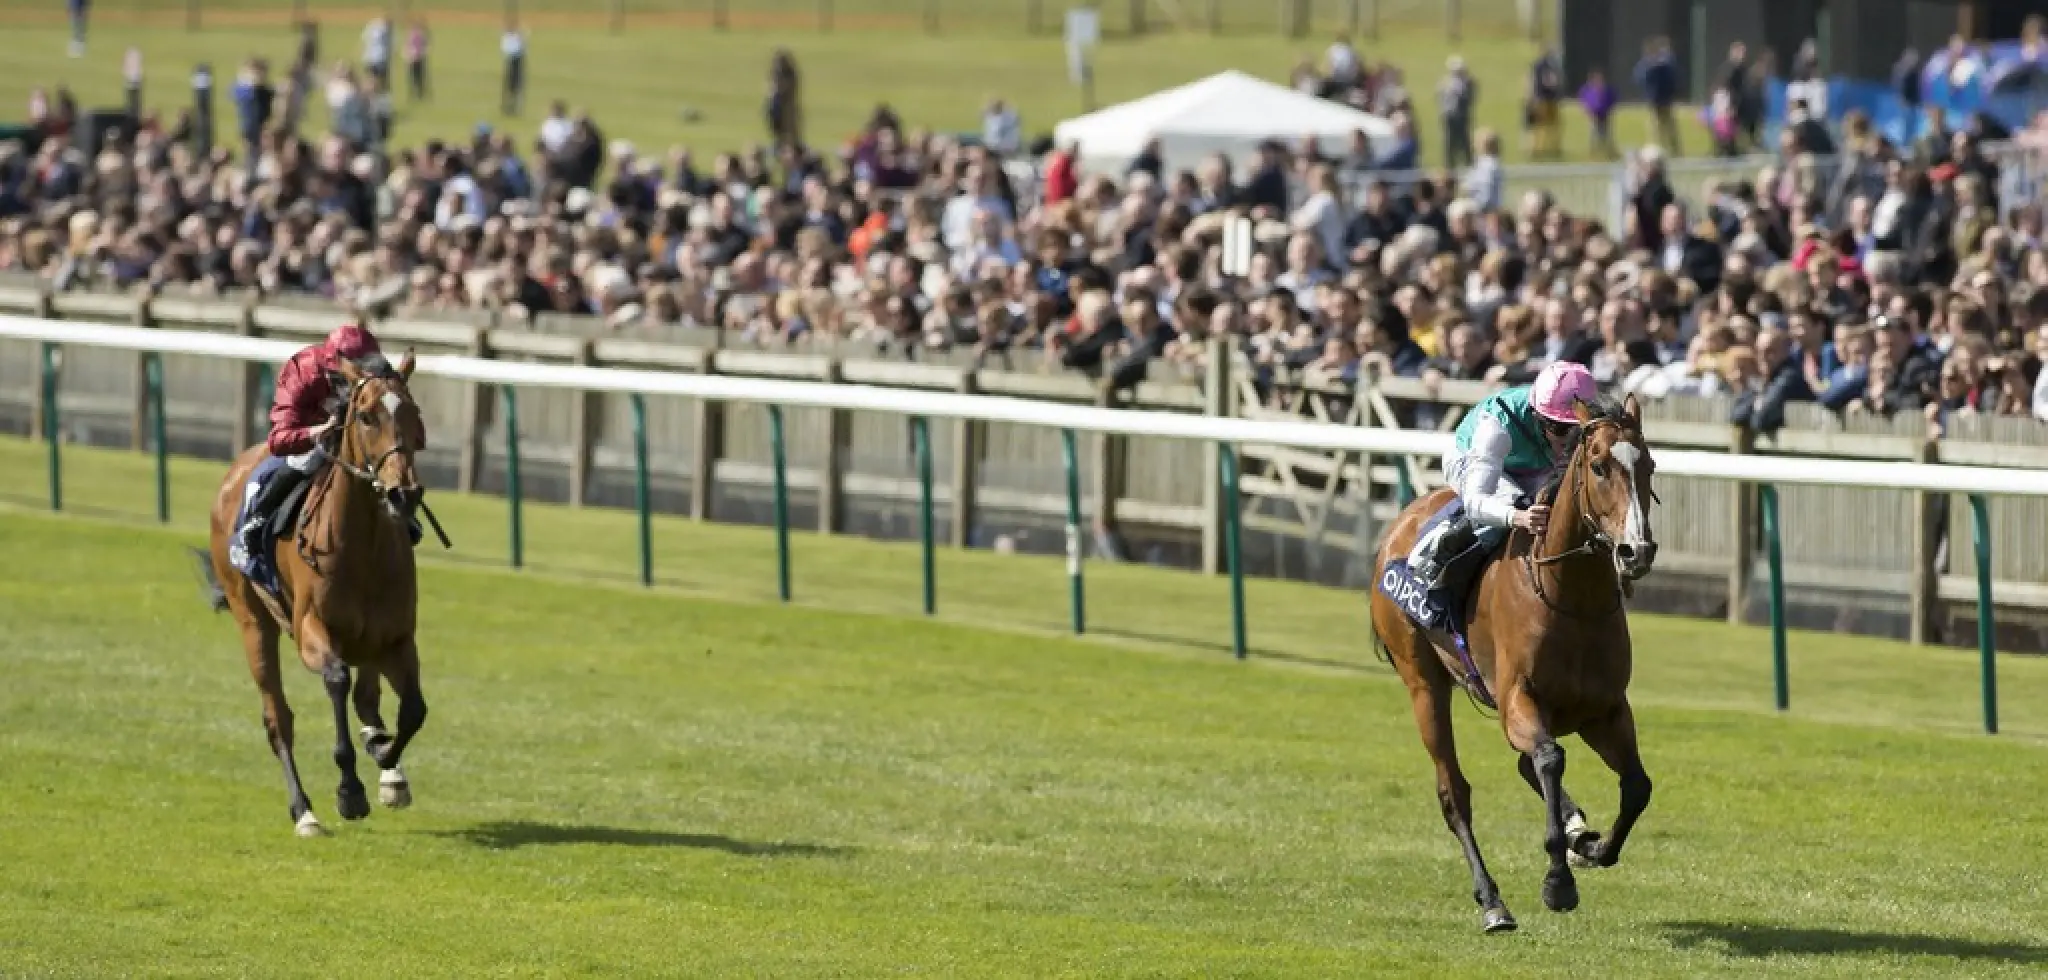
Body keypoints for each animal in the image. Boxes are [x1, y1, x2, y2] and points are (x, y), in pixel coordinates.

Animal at [199, 352, 430, 838]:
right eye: (366, 416)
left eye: (414, 414)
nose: (403, 493)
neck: (362, 546)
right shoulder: (311, 632)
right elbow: (337, 681)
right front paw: (350, 790)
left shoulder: (396, 638)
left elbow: (413, 710)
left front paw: (385, 760)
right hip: (253, 624)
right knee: (278, 719)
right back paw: (304, 811)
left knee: (367, 700)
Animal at [1368, 394, 1659, 933]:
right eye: (1599, 466)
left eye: (1648, 464)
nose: (1637, 551)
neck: (1572, 598)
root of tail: (1403, 520)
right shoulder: (1518, 700)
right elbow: (1549, 759)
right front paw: (1558, 882)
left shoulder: (1606, 710)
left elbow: (1636, 786)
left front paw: (1592, 847)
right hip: (1424, 685)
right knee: (1455, 794)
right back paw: (1493, 903)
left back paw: (1576, 833)